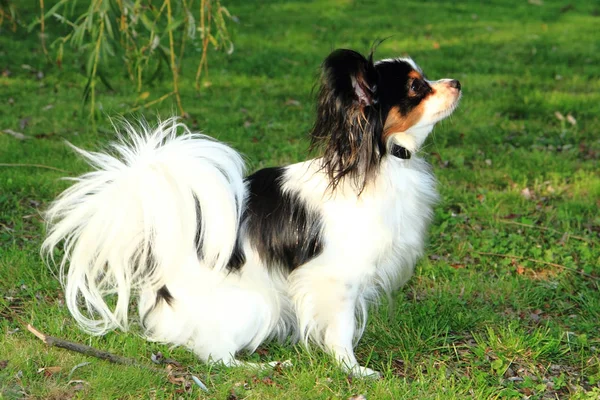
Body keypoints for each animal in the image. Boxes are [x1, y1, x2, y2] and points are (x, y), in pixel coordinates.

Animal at [42, 48, 462, 376]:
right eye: (416, 88)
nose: (457, 82)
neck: (375, 160)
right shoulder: (336, 280)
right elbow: (340, 331)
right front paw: (354, 370)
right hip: (259, 305)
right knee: (217, 357)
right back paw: (267, 365)